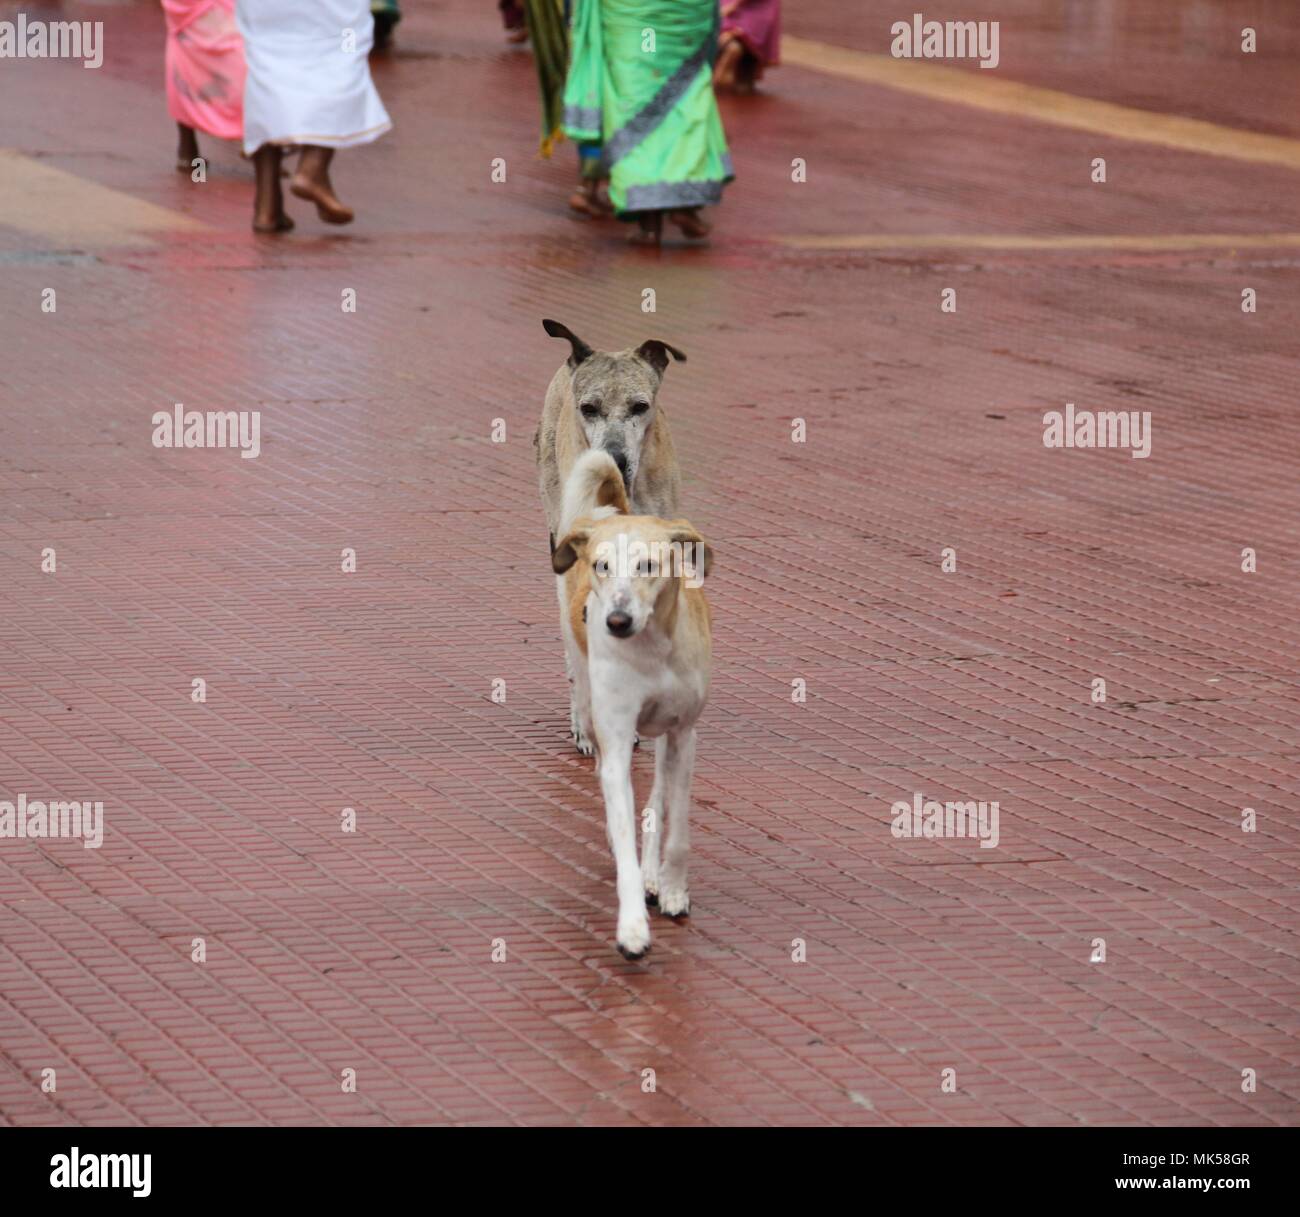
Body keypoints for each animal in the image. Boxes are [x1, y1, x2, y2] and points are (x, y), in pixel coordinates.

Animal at [548, 452, 712, 967]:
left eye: (648, 565)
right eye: (602, 566)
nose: (616, 621)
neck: (651, 652)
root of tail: (611, 512)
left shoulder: (683, 734)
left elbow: (674, 825)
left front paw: (672, 888)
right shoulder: (618, 742)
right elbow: (622, 833)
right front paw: (633, 927)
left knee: (659, 797)